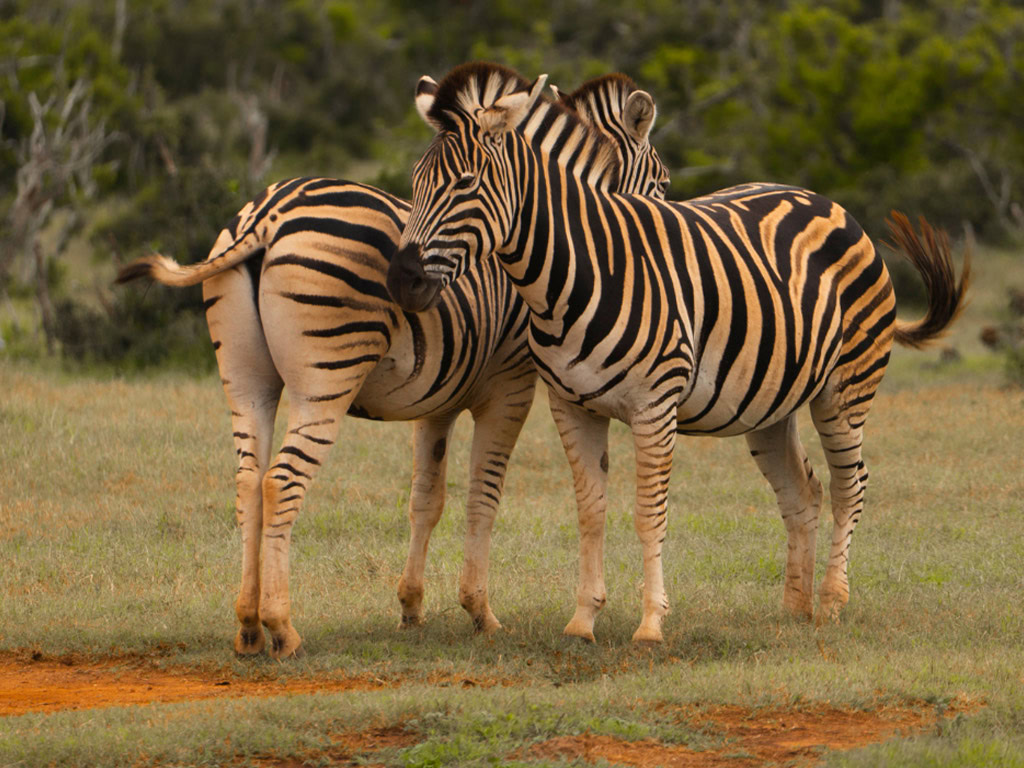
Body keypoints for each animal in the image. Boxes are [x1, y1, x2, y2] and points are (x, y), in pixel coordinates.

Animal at [115, 69, 669, 659]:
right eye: (661, 184)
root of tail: (267, 215)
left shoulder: (439, 395)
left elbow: (426, 499)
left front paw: (411, 606)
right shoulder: (511, 385)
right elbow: (483, 495)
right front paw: (481, 613)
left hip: (245, 380)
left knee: (246, 481)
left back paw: (246, 626)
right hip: (325, 378)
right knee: (280, 482)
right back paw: (282, 627)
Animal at [386, 63, 971, 644]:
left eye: (465, 183)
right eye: (415, 183)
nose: (401, 280)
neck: (575, 271)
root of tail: (822, 200)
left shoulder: (654, 406)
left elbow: (649, 514)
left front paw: (650, 624)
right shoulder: (571, 407)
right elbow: (591, 511)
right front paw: (583, 620)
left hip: (846, 389)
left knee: (851, 485)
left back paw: (830, 602)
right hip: (769, 407)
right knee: (802, 490)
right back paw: (794, 609)